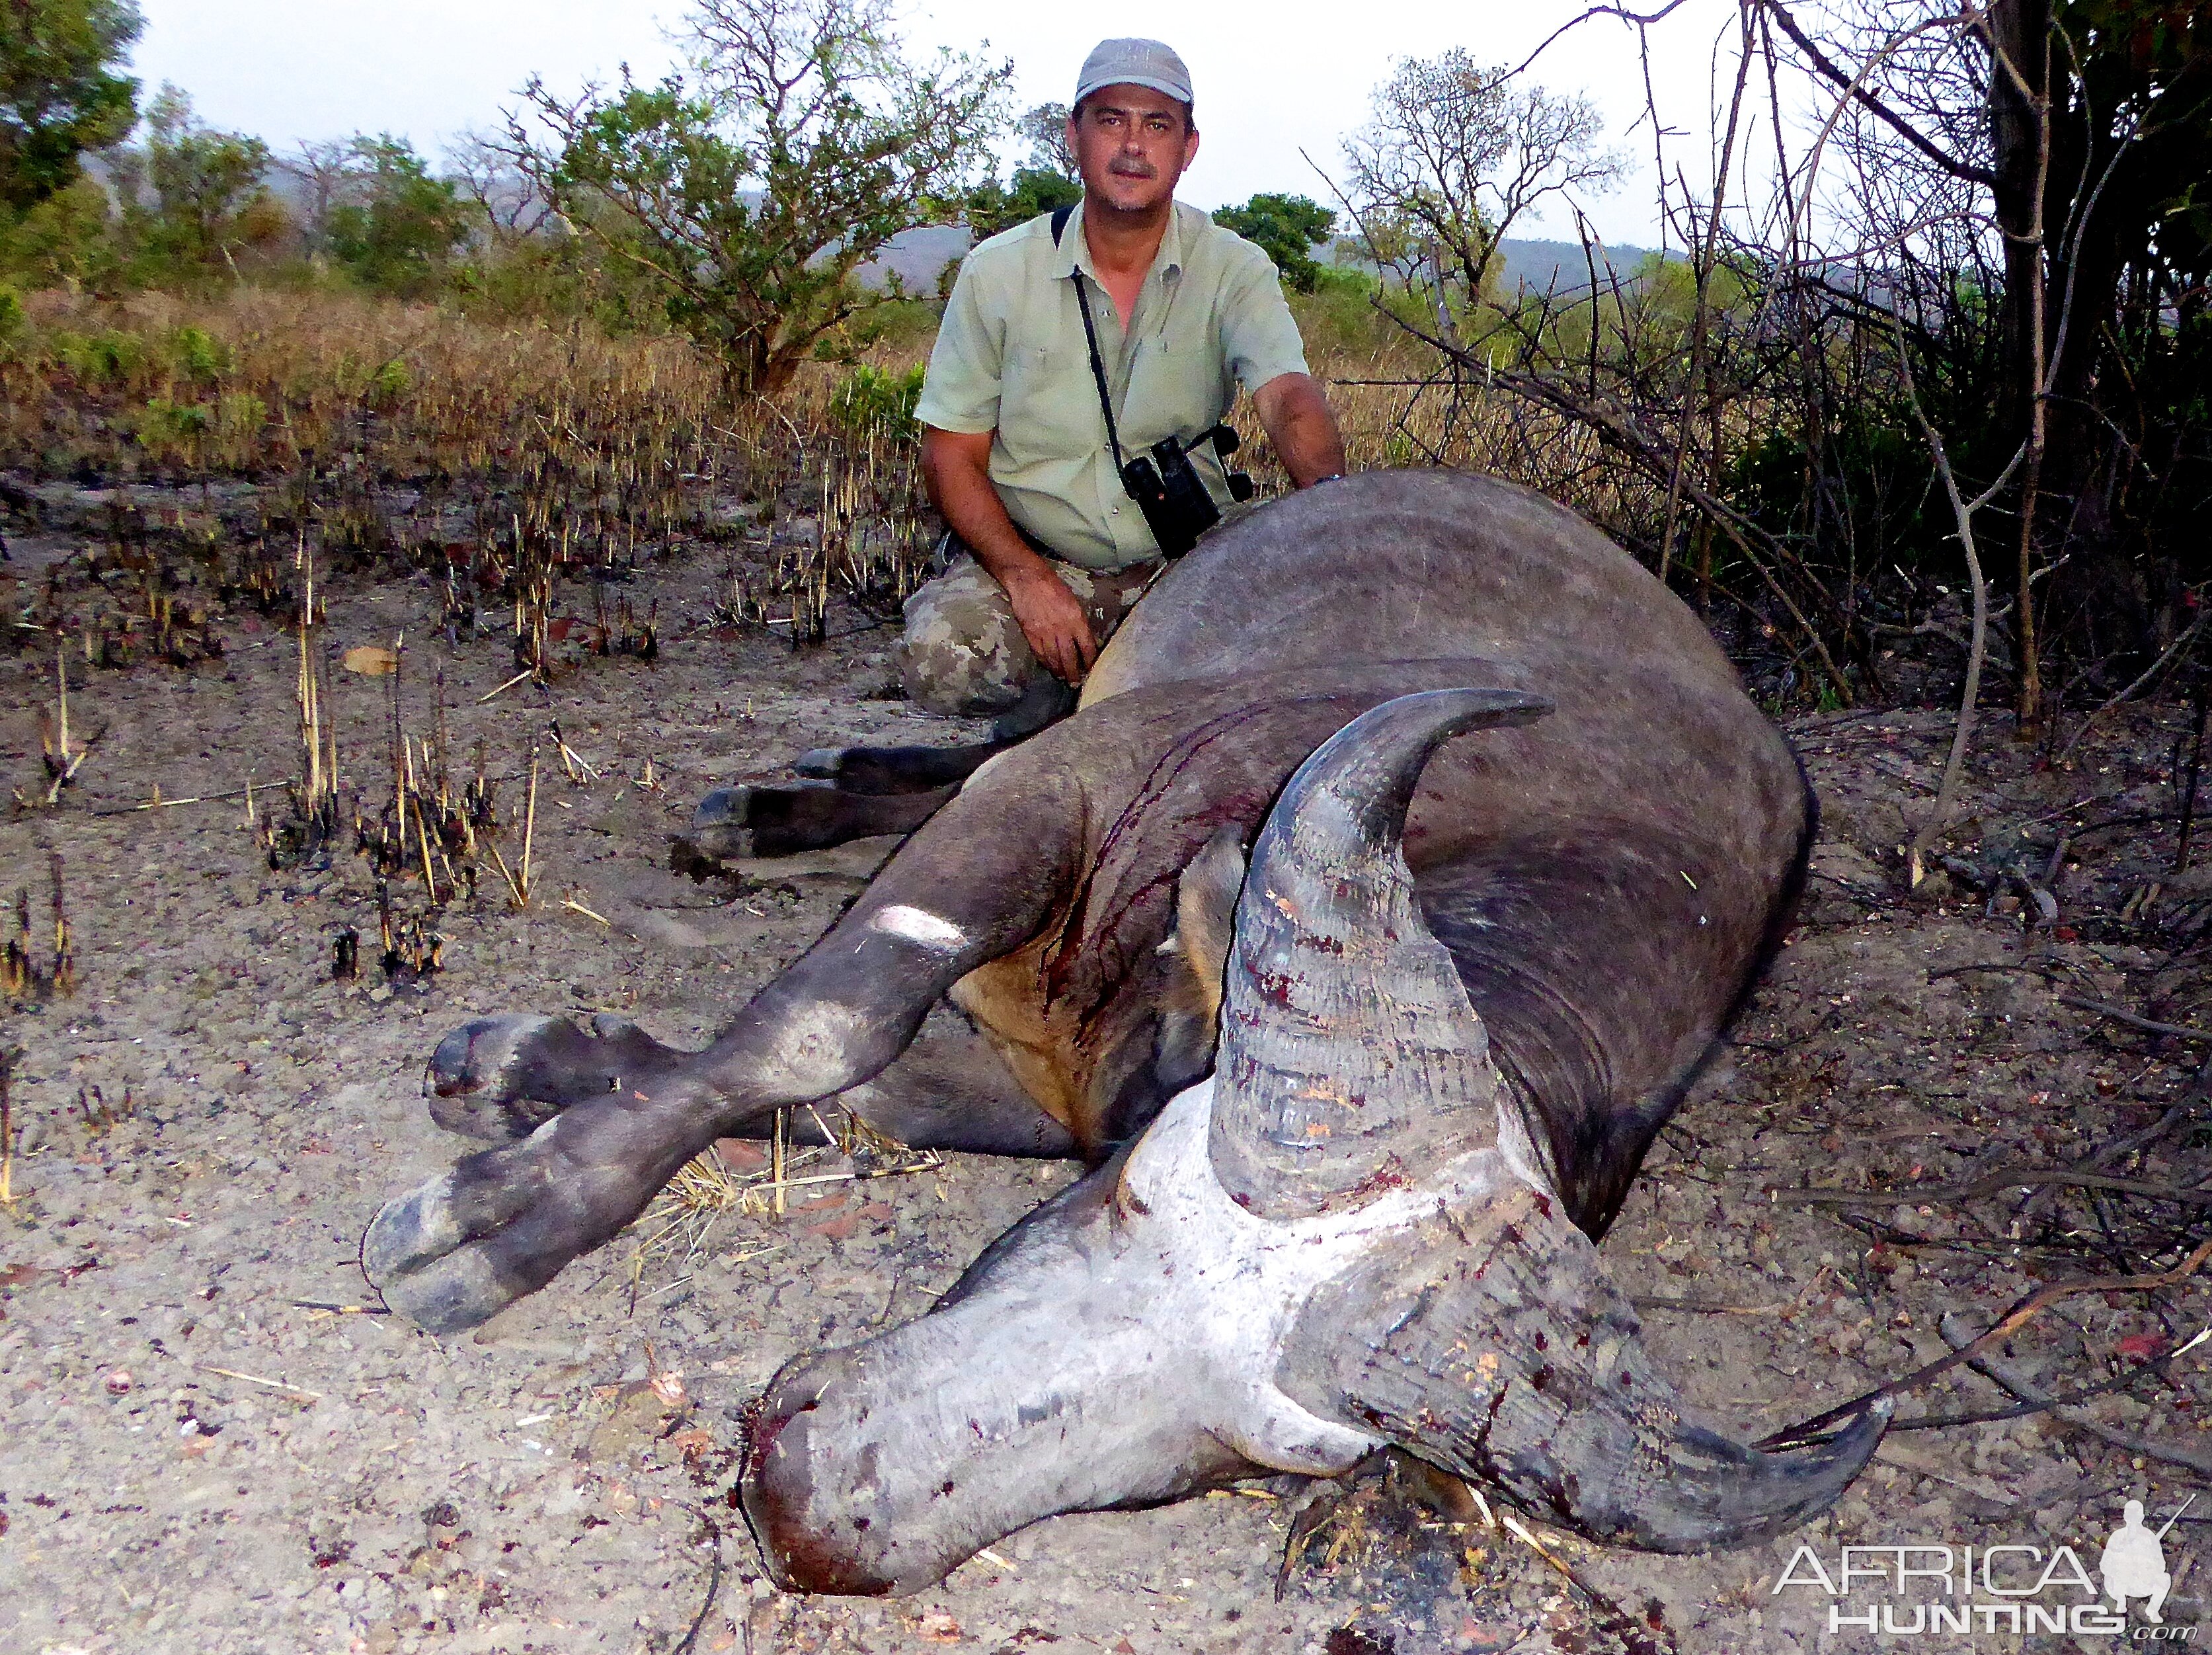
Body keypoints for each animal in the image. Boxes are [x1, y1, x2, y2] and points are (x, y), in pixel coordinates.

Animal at [358, 464, 1884, 1593]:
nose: (802, 1496)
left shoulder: (1051, 1080)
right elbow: (827, 1023)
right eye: (1130, 1198)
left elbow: (848, 1087)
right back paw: (776, 802)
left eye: (1250, 1446)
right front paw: (494, 1219)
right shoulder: (1059, 791)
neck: (1575, 831)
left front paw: (539, 1069)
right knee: (965, 754)